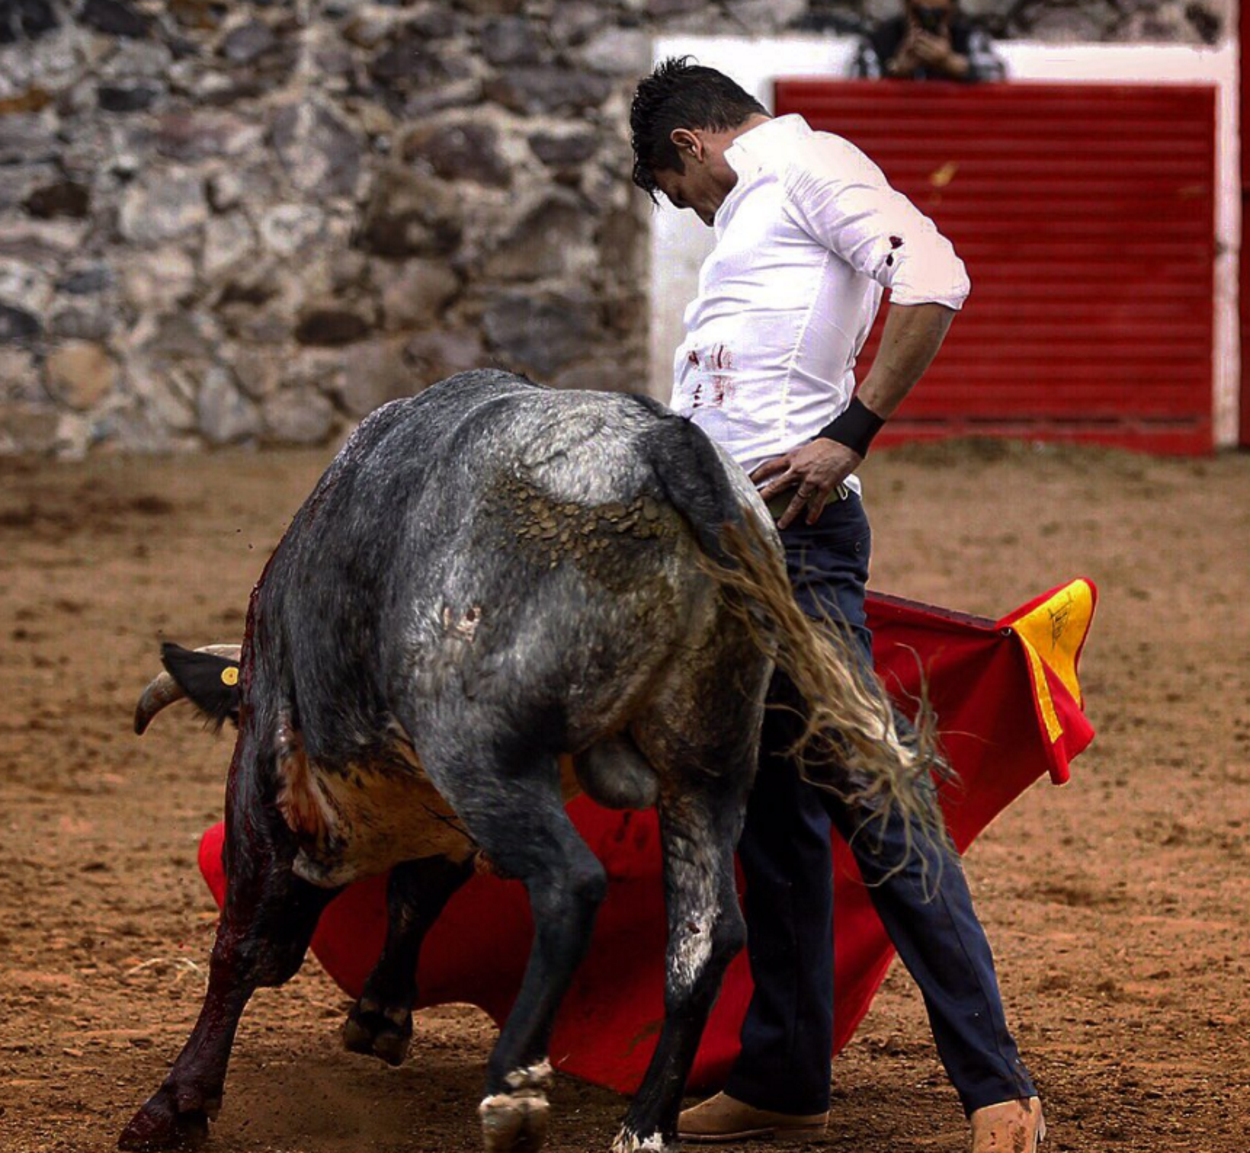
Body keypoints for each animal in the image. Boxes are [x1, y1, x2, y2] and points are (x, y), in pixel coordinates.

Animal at [119, 370, 930, 1150]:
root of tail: (663, 447)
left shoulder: (270, 768)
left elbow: (246, 944)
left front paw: (175, 1106)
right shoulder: (442, 809)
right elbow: (414, 893)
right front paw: (379, 1014)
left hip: (486, 751)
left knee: (571, 885)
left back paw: (514, 1091)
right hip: (705, 766)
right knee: (708, 934)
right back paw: (643, 1127)